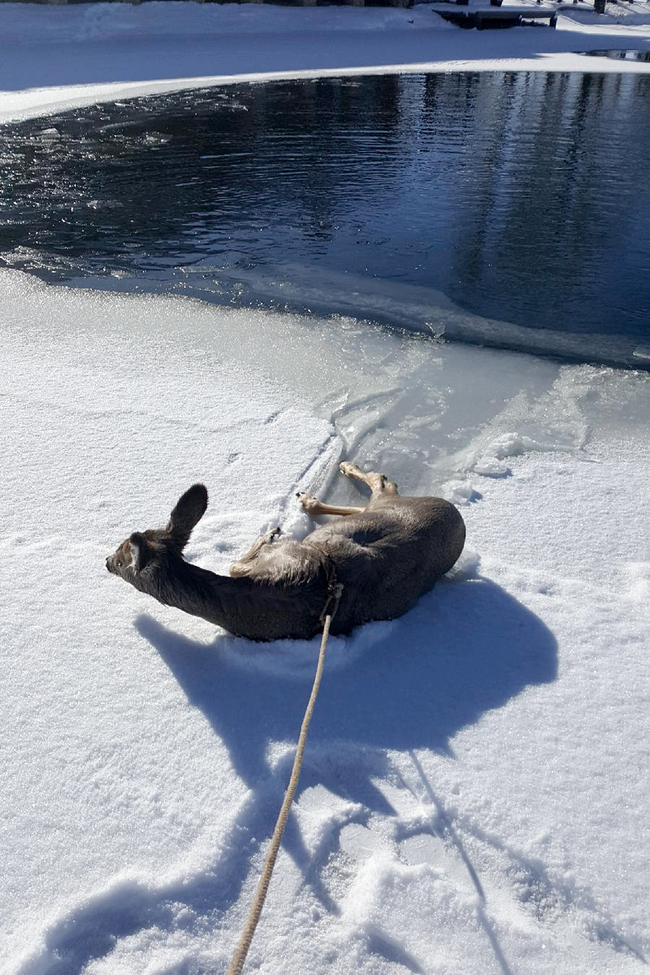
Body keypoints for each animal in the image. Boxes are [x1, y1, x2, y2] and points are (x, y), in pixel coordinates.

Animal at [104, 462, 464, 644]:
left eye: (121, 556)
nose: (106, 561)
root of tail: (457, 516)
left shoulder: (278, 554)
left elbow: (238, 560)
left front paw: (268, 532)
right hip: (377, 512)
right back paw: (311, 498)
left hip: (387, 506)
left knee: (383, 482)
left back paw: (339, 470)